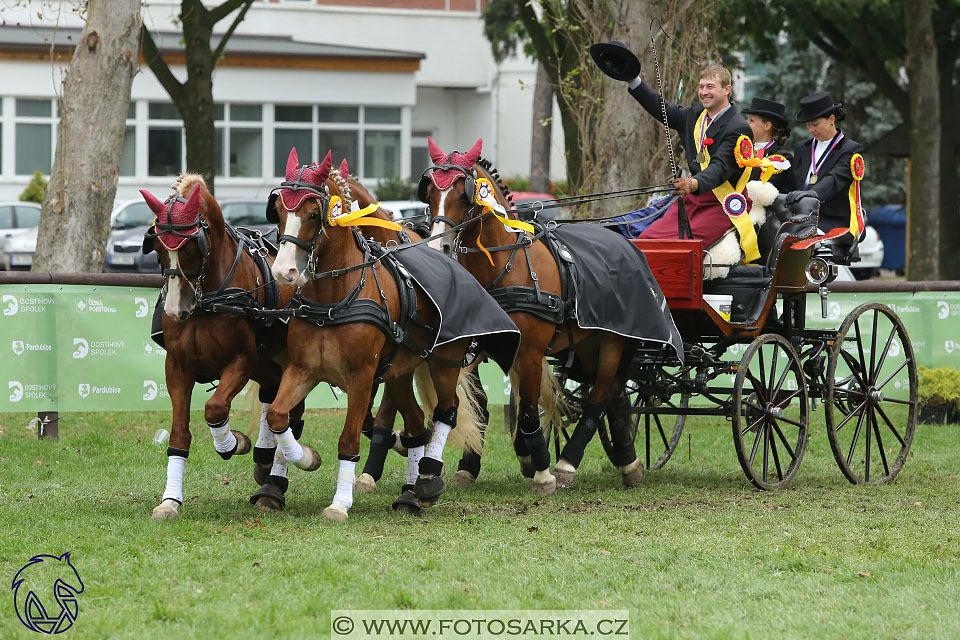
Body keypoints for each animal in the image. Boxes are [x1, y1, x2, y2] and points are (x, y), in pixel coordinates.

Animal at [139, 175, 308, 520]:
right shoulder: (177, 367)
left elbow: (215, 408)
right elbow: (179, 433)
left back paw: (274, 483)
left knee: (290, 414)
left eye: (193, 247)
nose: (175, 309)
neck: (210, 300)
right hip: (268, 364)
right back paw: (265, 458)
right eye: (159, 249)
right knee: (273, 398)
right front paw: (170, 500)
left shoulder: (241, 361)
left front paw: (232, 443)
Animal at [266, 149, 506, 520]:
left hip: (444, 362)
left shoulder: (362, 377)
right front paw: (304, 458)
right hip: (398, 372)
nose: (283, 271)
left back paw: (428, 478)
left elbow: (349, 439)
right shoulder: (303, 370)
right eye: (278, 210)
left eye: (312, 213)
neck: (335, 297)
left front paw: (340, 502)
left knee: (446, 411)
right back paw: (410, 491)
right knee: (417, 423)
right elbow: (278, 416)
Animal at [424, 139, 656, 490]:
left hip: (614, 341)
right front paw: (472, 464)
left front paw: (541, 469)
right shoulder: (476, 347)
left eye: (463, 195)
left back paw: (567, 462)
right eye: (430, 194)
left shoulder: (530, 352)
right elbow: (480, 406)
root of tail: (623, 241)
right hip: (587, 344)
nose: (438, 250)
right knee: (616, 395)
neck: (505, 265)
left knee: (599, 398)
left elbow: (530, 412)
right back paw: (629, 462)